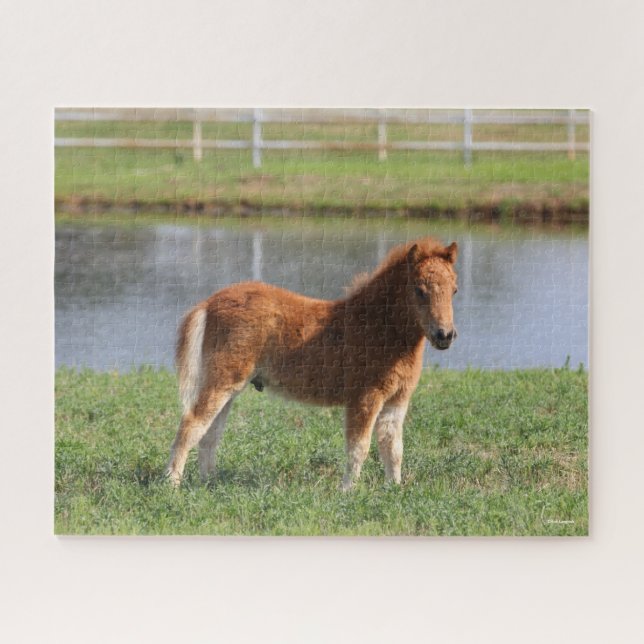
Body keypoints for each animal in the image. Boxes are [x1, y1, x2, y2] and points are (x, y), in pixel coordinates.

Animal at [165, 237, 458, 491]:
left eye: (454, 290)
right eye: (419, 290)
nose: (445, 335)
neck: (377, 328)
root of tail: (209, 303)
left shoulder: (397, 400)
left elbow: (393, 447)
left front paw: (394, 489)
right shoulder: (365, 398)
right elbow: (359, 447)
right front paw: (347, 491)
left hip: (229, 388)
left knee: (210, 434)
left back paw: (209, 484)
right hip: (222, 382)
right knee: (191, 425)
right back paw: (172, 484)